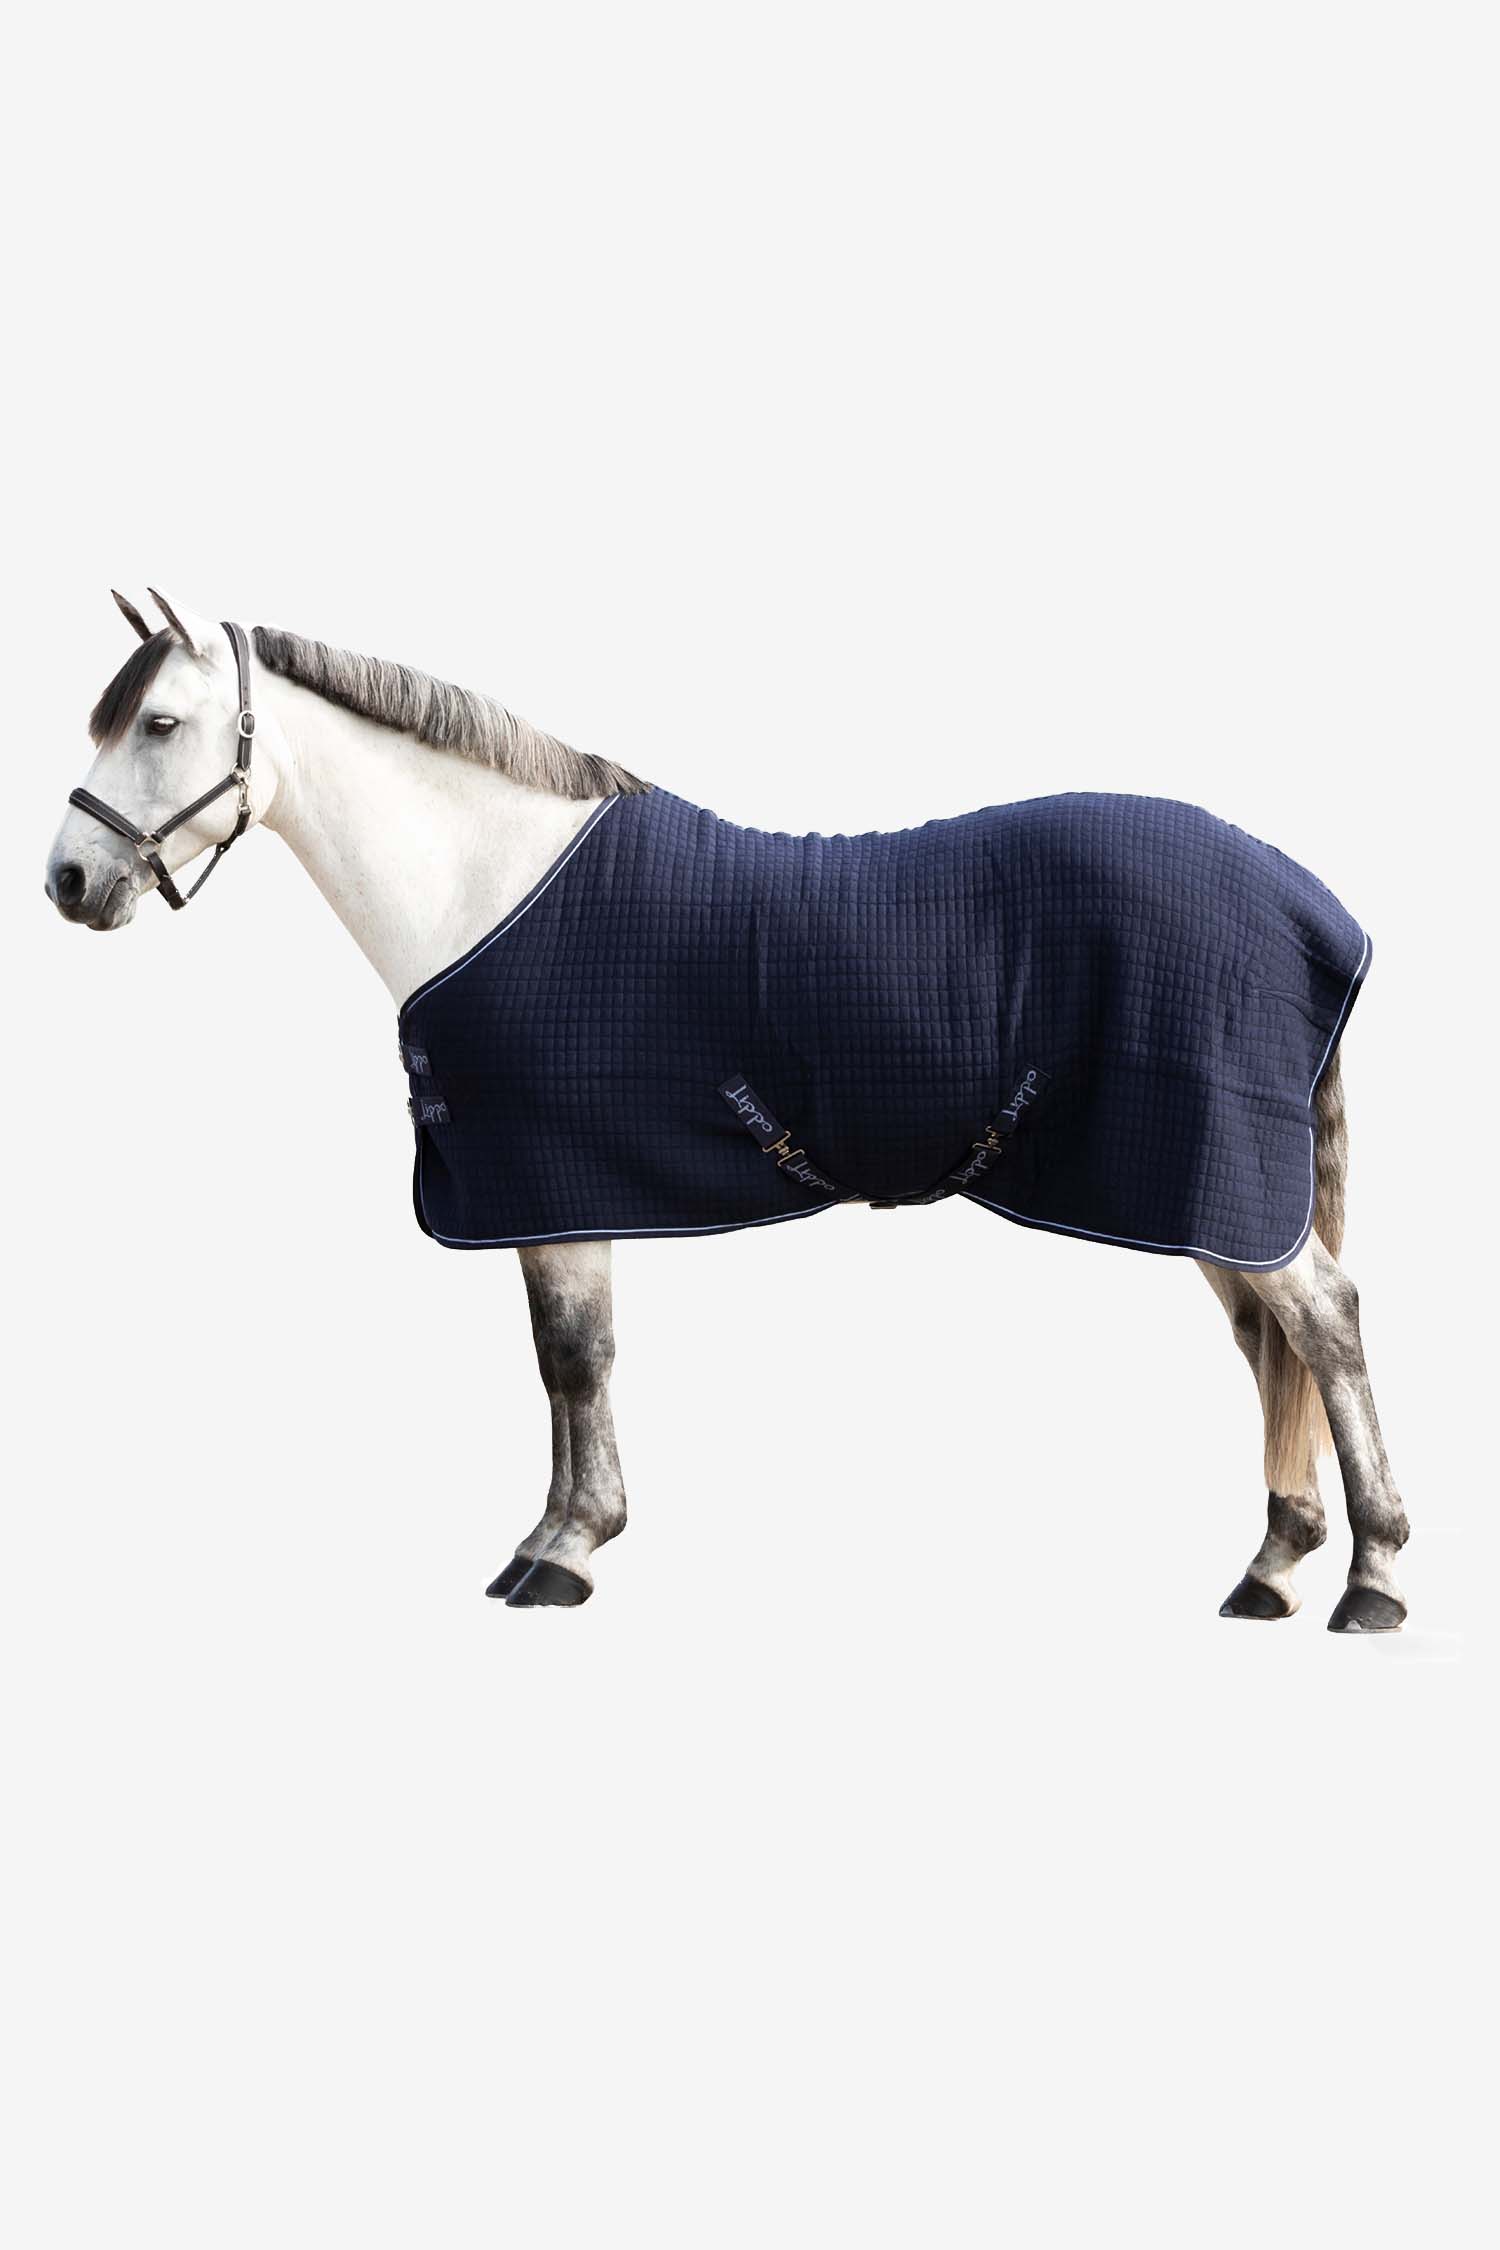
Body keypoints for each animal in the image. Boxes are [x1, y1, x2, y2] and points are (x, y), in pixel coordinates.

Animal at [44, 589, 1410, 1631]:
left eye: (159, 722)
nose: (68, 880)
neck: (492, 883)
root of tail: (1304, 903)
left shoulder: (551, 1181)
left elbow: (575, 1360)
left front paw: (565, 1552)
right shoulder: (553, 1196)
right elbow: (561, 1368)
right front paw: (555, 1536)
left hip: (1223, 1177)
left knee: (1327, 1324)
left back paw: (1374, 1579)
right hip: (1209, 1193)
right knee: (1271, 1346)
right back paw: (1274, 1567)